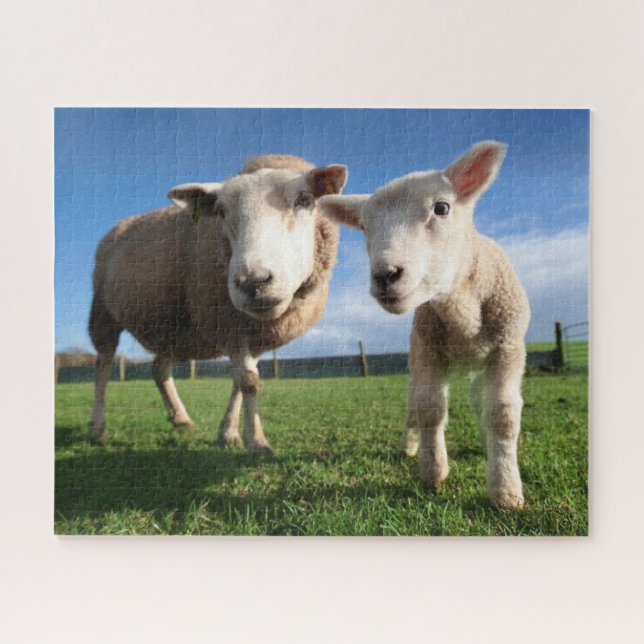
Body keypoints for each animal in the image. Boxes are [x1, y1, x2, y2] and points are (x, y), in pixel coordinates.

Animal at [88, 155, 348, 454]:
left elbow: (241, 381)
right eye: (221, 211)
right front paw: (257, 442)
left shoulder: (253, 335)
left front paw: (229, 433)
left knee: (158, 369)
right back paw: (98, 428)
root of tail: (121, 224)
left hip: (170, 325)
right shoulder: (227, 324)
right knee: (103, 365)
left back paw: (180, 418)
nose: (253, 282)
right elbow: (248, 382)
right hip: (103, 313)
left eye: (304, 199)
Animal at [318, 141, 530, 509]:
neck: (462, 312)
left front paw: (506, 490)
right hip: (416, 356)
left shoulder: (508, 349)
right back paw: (410, 444)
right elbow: (429, 409)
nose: (385, 275)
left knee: (479, 400)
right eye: (364, 227)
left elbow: (502, 415)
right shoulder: (429, 351)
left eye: (442, 208)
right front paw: (433, 472)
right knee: (414, 404)